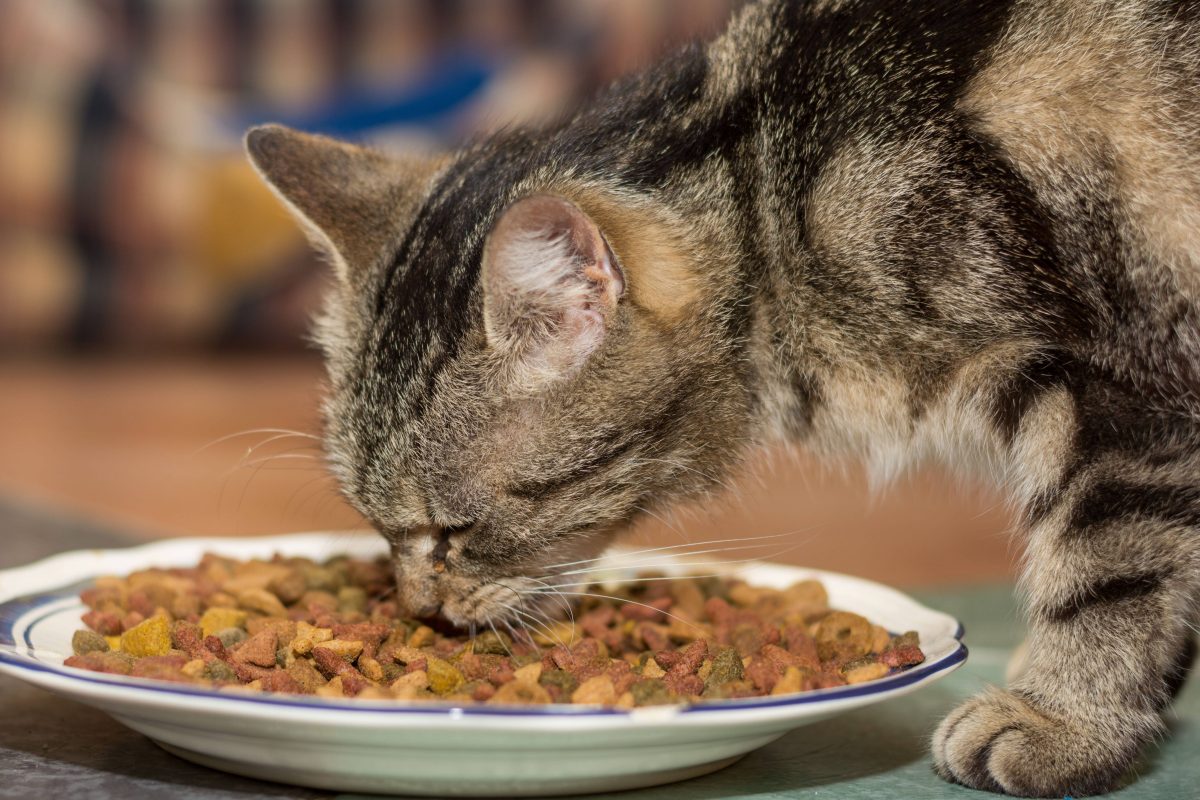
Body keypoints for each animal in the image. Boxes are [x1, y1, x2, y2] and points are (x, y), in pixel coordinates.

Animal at [246, 3, 1200, 796]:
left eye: (453, 531)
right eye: (374, 527)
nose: (419, 610)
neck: (773, 200)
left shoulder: (1127, 392)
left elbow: (1109, 577)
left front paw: (1063, 721)